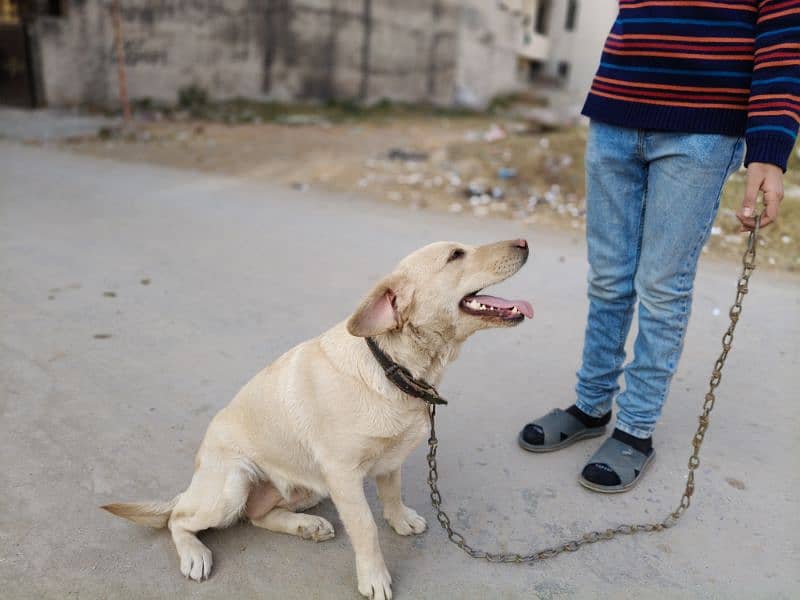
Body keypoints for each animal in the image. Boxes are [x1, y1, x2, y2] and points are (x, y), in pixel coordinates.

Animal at [104, 238, 532, 596]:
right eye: (456, 255)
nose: (525, 242)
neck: (392, 367)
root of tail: (196, 481)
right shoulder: (343, 474)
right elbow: (366, 528)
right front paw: (374, 577)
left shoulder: (385, 461)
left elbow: (391, 494)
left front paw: (400, 520)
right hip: (231, 486)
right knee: (180, 517)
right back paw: (195, 552)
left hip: (306, 485)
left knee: (256, 516)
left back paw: (305, 525)